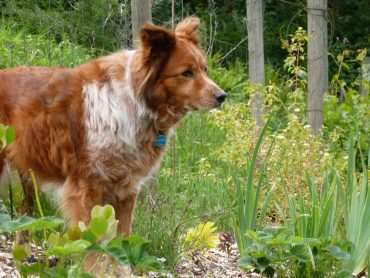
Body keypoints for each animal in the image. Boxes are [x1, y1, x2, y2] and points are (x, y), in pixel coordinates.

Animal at [0, 17, 225, 237]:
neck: (133, 103)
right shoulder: (86, 189)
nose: (222, 96)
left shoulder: (126, 190)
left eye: (204, 70)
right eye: (187, 73)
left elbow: (121, 238)